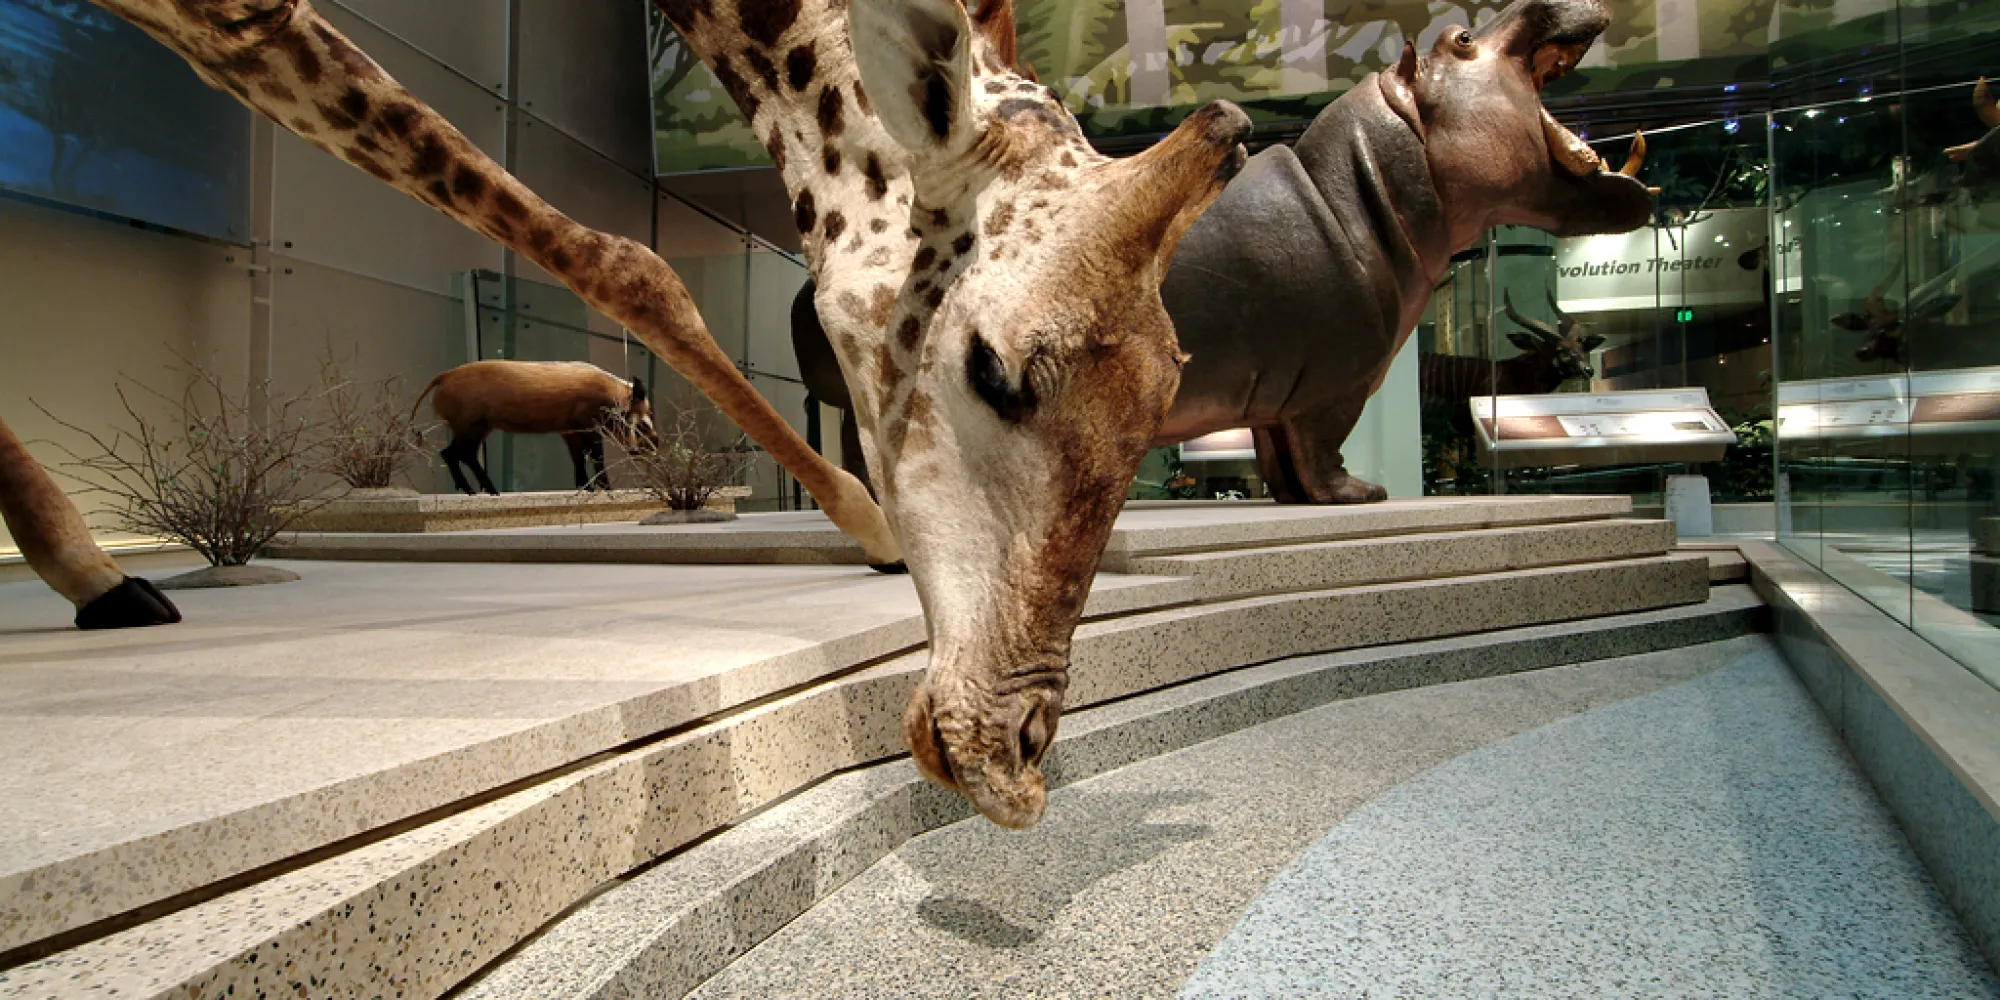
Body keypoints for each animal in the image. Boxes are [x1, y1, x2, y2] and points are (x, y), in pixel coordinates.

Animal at [416, 364, 664, 496]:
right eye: (644, 422)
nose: (656, 448)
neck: (612, 401)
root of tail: (443, 377)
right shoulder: (588, 427)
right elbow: (596, 457)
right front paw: (606, 490)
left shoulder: (568, 431)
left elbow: (578, 459)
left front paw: (587, 490)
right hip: (471, 425)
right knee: (458, 453)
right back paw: (487, 492)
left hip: (472, 428)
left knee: (452, 453)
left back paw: (477, 492)